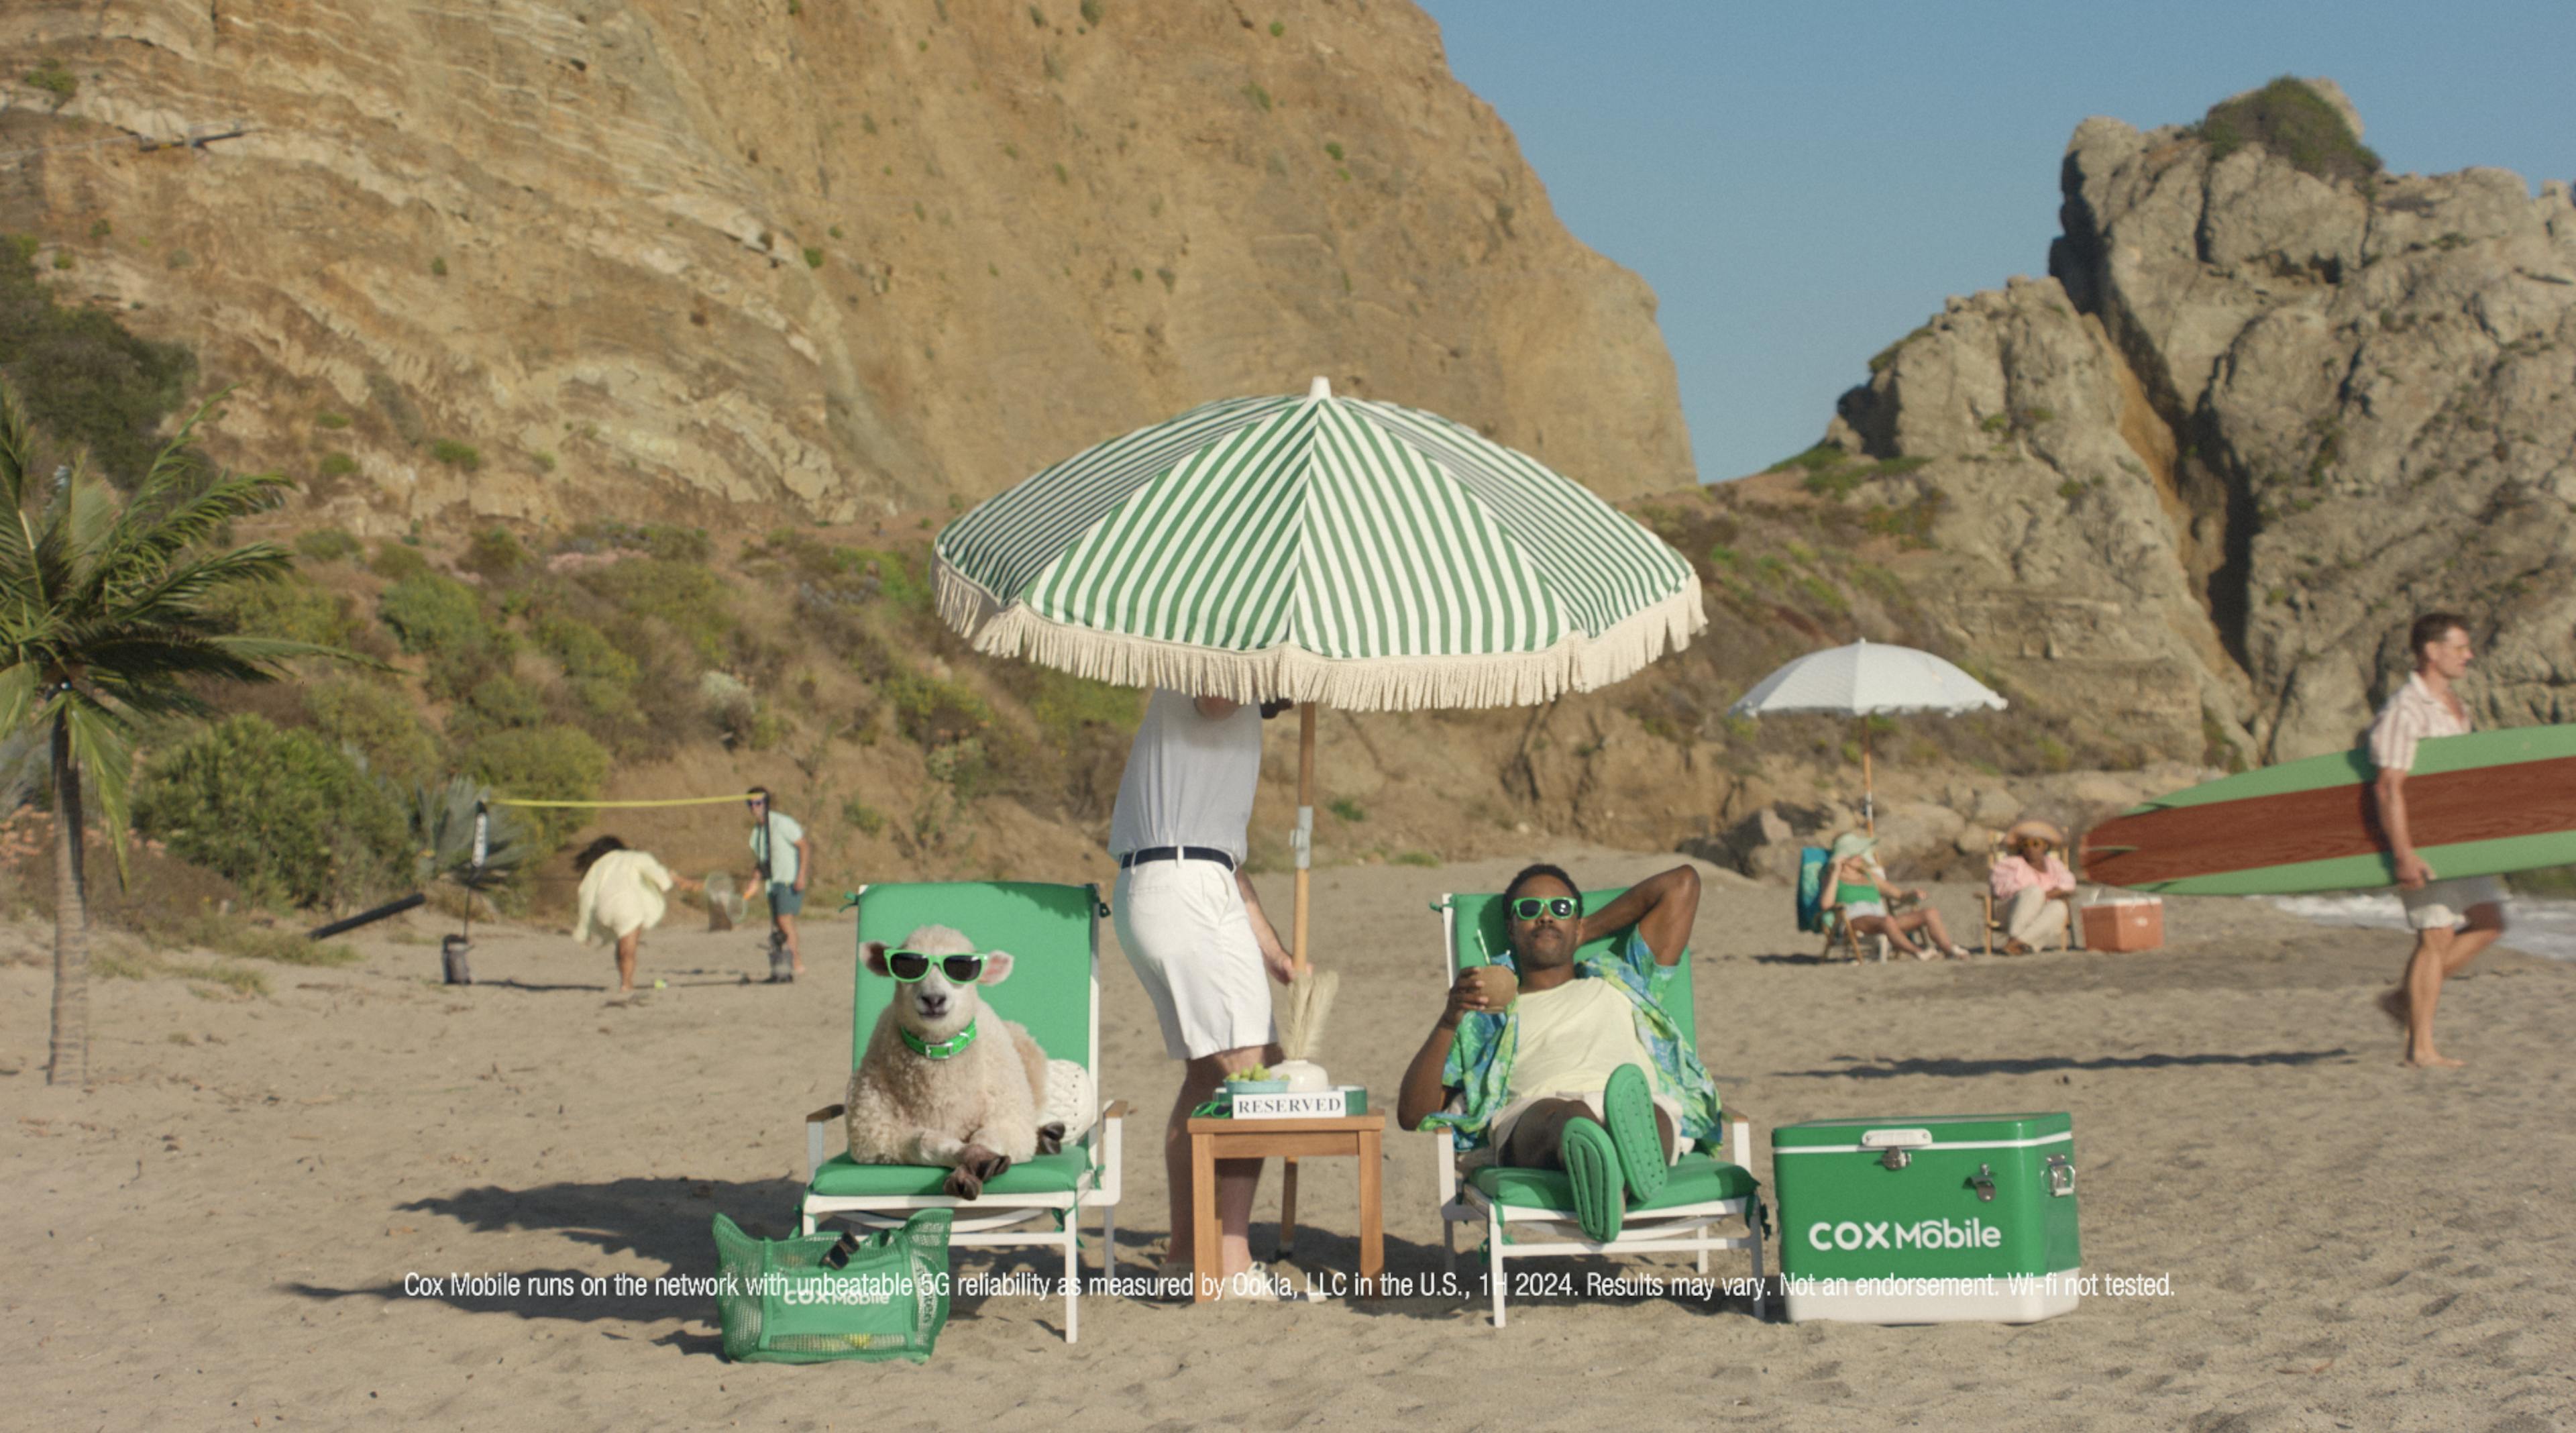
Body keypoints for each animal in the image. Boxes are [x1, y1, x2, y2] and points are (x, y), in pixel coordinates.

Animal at [850, 928, 1071, 1196]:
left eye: (963, 969)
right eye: (907, 966)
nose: (934, 999)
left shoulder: (1012, 1121)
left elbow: (988, 1139)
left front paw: (980, 1162)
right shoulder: (873, 1133)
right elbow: (927, 1142)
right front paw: (971, 1162)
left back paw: (1049, 1137)